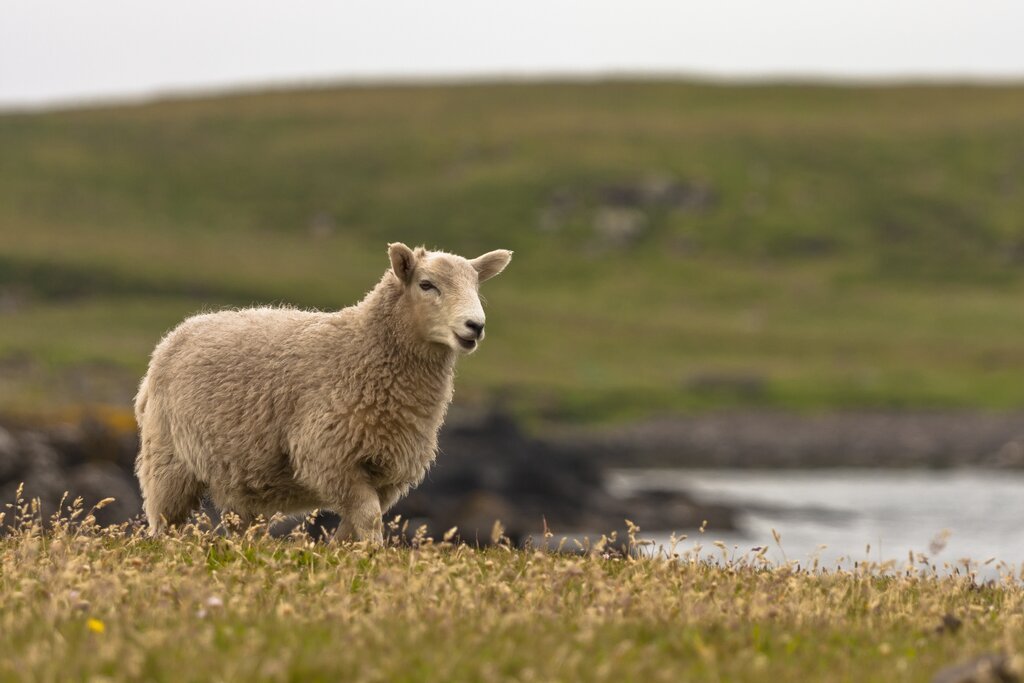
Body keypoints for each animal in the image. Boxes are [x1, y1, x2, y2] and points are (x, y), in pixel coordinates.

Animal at [136, 242, 512, 540]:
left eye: (476, 287)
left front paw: (347, 554)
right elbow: (369, 518)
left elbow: (356, 522)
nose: (475, 326)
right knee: (163, 522)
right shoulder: (329, 456)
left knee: (243, 527)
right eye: (426, 284)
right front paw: (372, 554)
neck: (362, 350)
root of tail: (178, 332)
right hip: (167, 460)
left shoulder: (385, 472)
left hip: (239, 476)